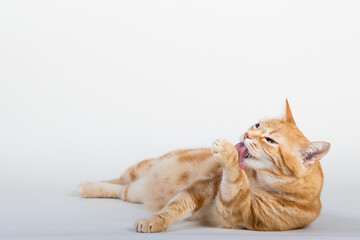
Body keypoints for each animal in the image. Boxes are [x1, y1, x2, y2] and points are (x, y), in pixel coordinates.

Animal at [77, 100, 330, 232]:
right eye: (257, 125)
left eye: (270, 140)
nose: (247, 134)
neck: (260, 179)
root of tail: (143, 184)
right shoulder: (207, 185)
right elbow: (176, 206)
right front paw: (155, 220)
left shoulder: (237, 210)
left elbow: (236, 182)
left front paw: (228, 151)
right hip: (140, 168)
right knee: (118, 181)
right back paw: (86, 186)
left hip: (133, 191)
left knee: (122, 189)